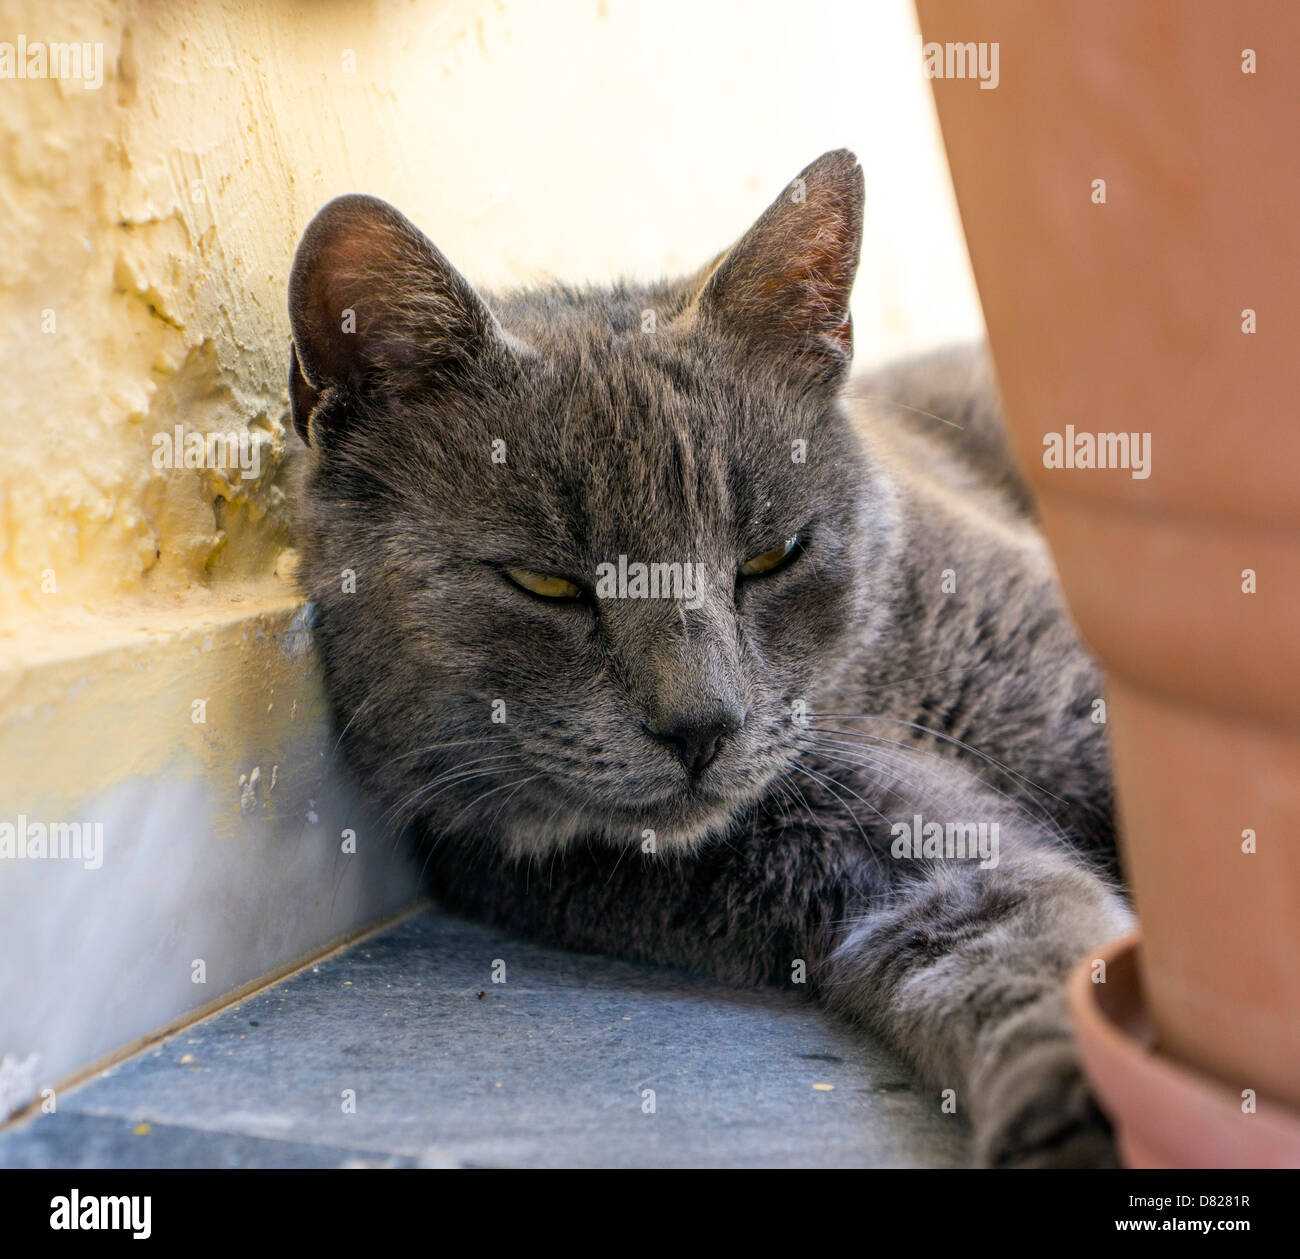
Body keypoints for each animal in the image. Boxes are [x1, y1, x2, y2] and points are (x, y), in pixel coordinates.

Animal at [284, 150, 1128, 1170]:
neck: (878, 701)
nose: (702, 724)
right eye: (546, 582)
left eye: (772, 556)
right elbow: (1012, 936)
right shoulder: (874, 861)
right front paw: (1081, 1111)